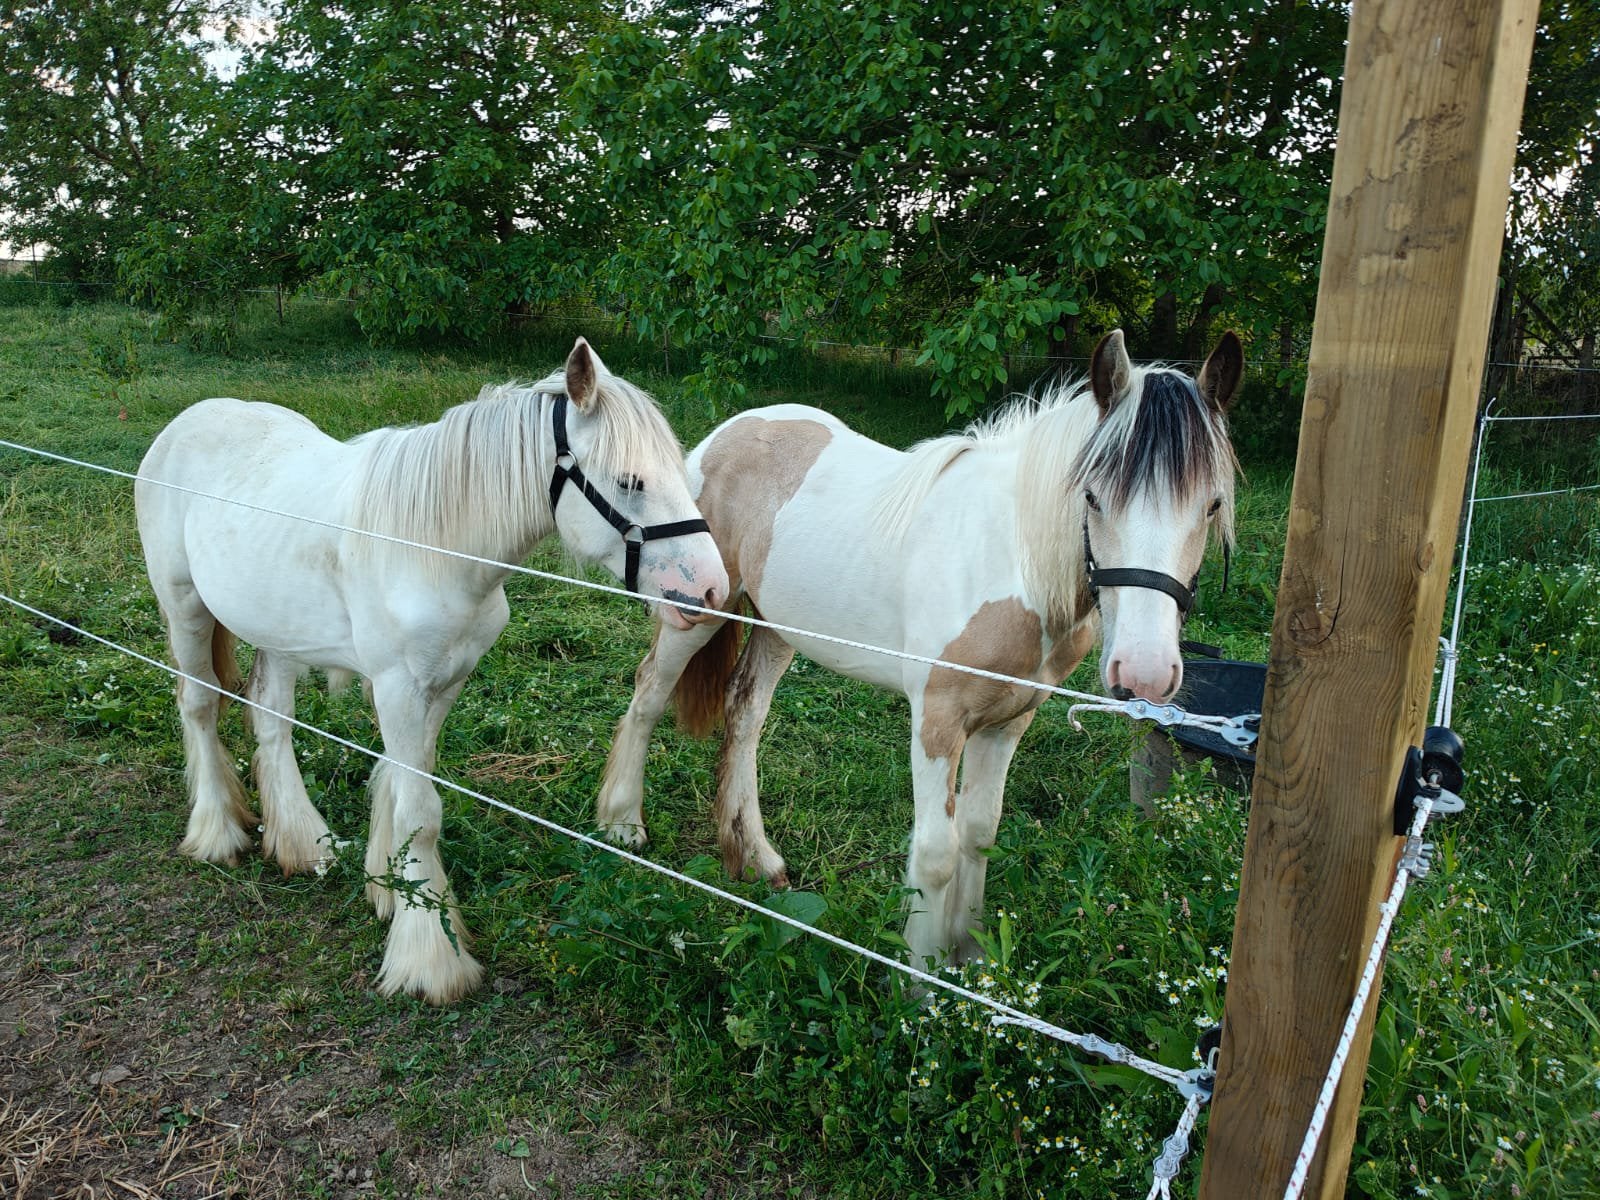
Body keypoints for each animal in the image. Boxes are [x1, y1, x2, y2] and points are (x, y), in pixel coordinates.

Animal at [136, 337, 727, 1005]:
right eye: (630, 481)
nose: (712, 590)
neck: (434, 547)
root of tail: (188, 420)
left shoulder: (445, 683)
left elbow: (400, 783)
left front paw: (388, 890)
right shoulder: (397, 687)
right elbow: (420, 813)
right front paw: (429, 957)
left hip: (277, 633)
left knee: (271, 719)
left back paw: (303, 845)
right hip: (184, 606)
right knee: (199, 706)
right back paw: (216, 834)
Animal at [596, 329, 1242, 968]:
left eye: (1211, 504)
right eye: (1093, 498)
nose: (1145, 672)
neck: (1009, 559)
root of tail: (721, 436)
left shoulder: (1006, 723)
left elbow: (979, 834)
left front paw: (969, 957)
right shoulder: (938, 720)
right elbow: (935, 854)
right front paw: (920, 979)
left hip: (777, 627)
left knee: (745, 713)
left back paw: (755, 857)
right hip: (698, 608)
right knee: (650, 692)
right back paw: (623, 824)